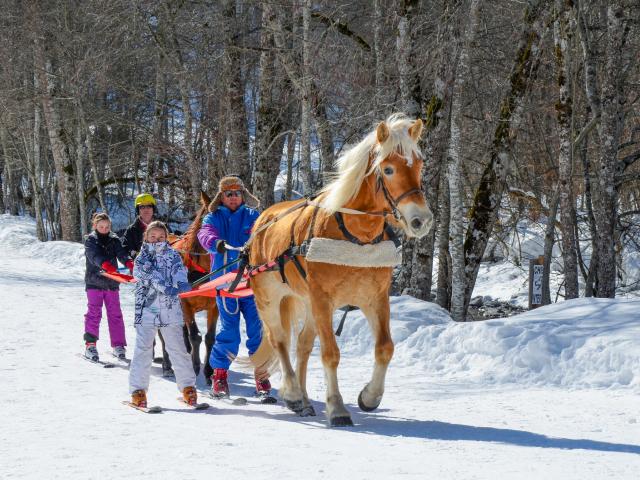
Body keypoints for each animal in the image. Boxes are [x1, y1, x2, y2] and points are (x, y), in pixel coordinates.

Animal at [164, 191, 221, 382]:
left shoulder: (214, 306)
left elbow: (210, 338)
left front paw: (209, 371)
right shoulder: (185, 304)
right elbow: (195, 336)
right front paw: (195, 368)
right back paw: (167, 364)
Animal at [248, 114, 432, 426]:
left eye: (419, 165)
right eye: (388, 169)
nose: (421, 219)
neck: (356, 234)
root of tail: (263, 219)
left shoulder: (375, 298)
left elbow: (385, 348)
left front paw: (370, 397)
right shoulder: (323, 299)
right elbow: (330, 353)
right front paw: (337, 407)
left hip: (307, 302)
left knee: (302, 344)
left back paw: (304, 400)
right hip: (268, 297)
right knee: (280, 340)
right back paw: (293, 393)